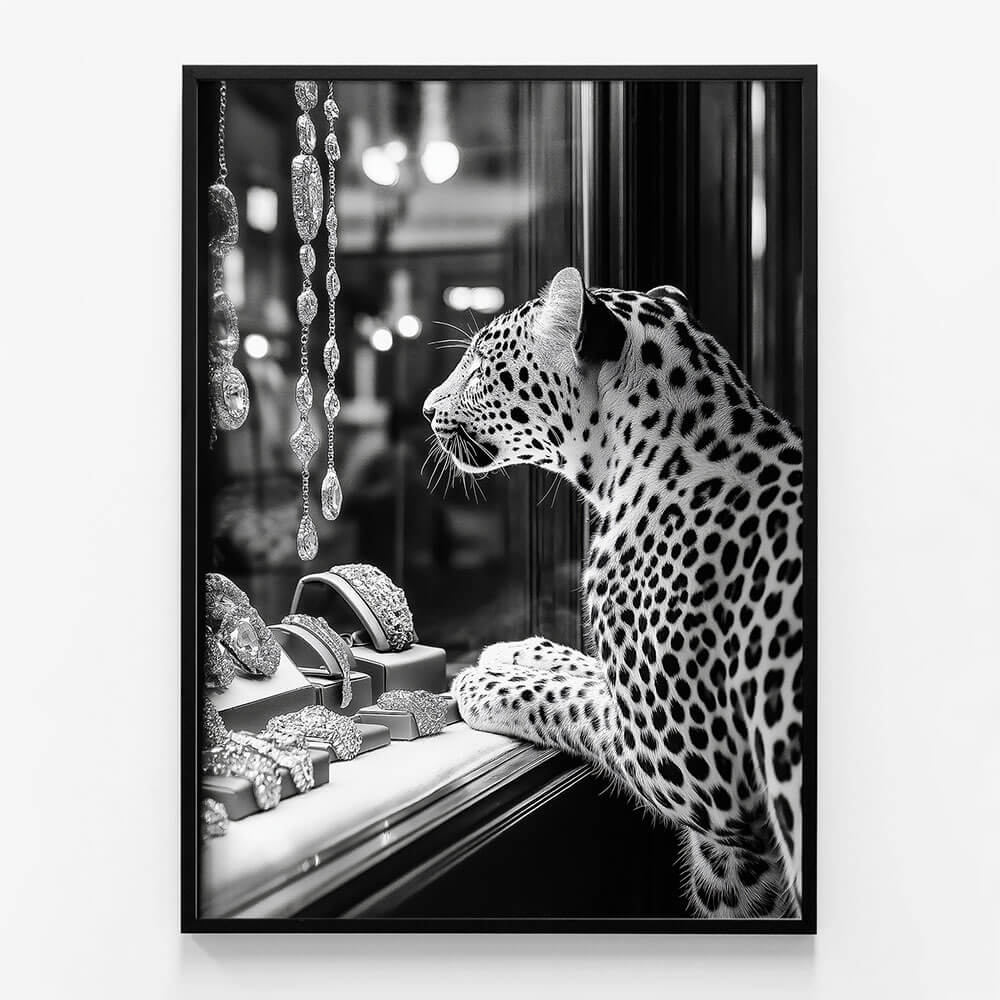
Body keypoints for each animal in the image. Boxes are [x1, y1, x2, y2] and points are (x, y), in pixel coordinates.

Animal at [423, 266, 804, 919]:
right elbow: (585, 668)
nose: (425, 410)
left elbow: (564, 700)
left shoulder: (693, 771)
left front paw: (482, 682)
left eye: (477, 368)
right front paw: (517, 651)